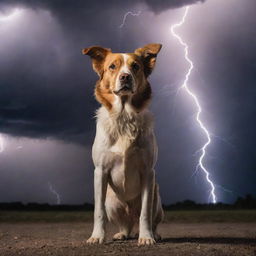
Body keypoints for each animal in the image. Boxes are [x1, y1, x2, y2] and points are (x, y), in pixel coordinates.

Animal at [82, 44, 164, 246]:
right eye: (112, 66)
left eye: (135, 66)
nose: (125, 76)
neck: (124, 117)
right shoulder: (100, 171)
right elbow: (98, 212)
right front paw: (97, 236)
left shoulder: (148, 172)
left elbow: (145, 213)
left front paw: (146, 237)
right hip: (111, 202)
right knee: (124, 224)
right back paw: (122, 234)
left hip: (157, 198)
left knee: (150, 219)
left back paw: (153, 234)